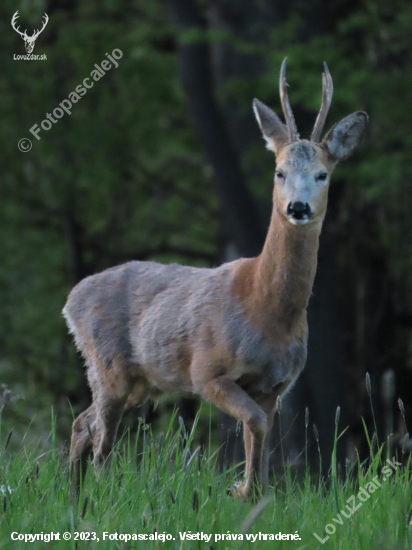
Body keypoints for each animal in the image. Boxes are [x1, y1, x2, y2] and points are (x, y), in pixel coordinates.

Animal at [64, 59, 366, 500]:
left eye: (323, 174)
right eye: (279, 171)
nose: (297, 207)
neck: (264, 306)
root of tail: (70, 299)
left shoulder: (275, 386)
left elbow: (259, 437)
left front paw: (254, 492)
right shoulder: (206, 371)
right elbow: (254, 424)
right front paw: (240, 489)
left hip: (139, 383)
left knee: (82, 425)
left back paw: (73, 492)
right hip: (108, 367)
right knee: (101, 441)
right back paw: (97, 495)